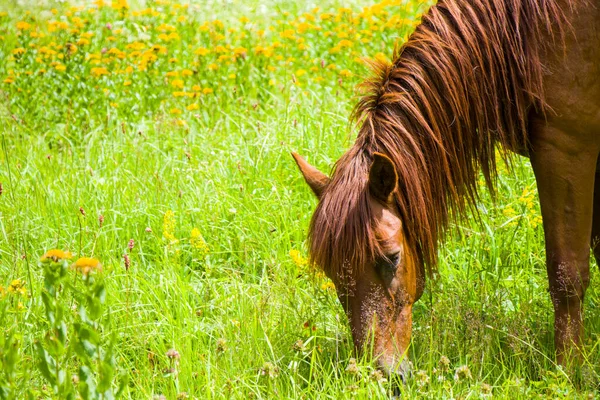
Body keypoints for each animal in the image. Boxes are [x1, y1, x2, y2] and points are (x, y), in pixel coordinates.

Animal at [290, 0, 596, 382]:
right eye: (332, 272)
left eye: (391, 258)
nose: (382, 376)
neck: (524, 35)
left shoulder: (568, 149)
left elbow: (567, 273)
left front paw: (567, 374)